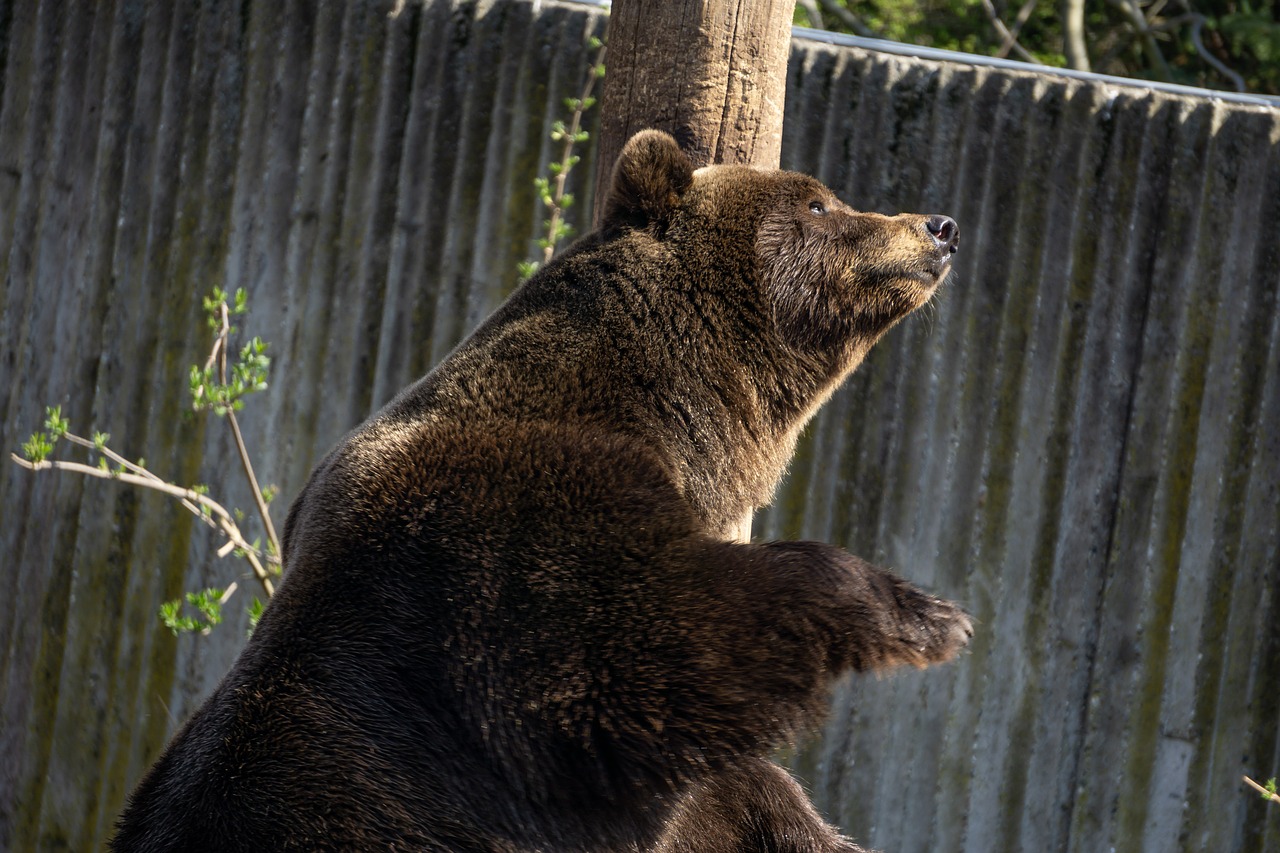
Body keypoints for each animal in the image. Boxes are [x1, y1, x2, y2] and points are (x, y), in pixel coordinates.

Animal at [112, 128, 967, 850]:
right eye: (818, 201)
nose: (940, 224)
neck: (669, 404)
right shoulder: (522, 548)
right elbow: (664, 638)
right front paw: (925, 614)